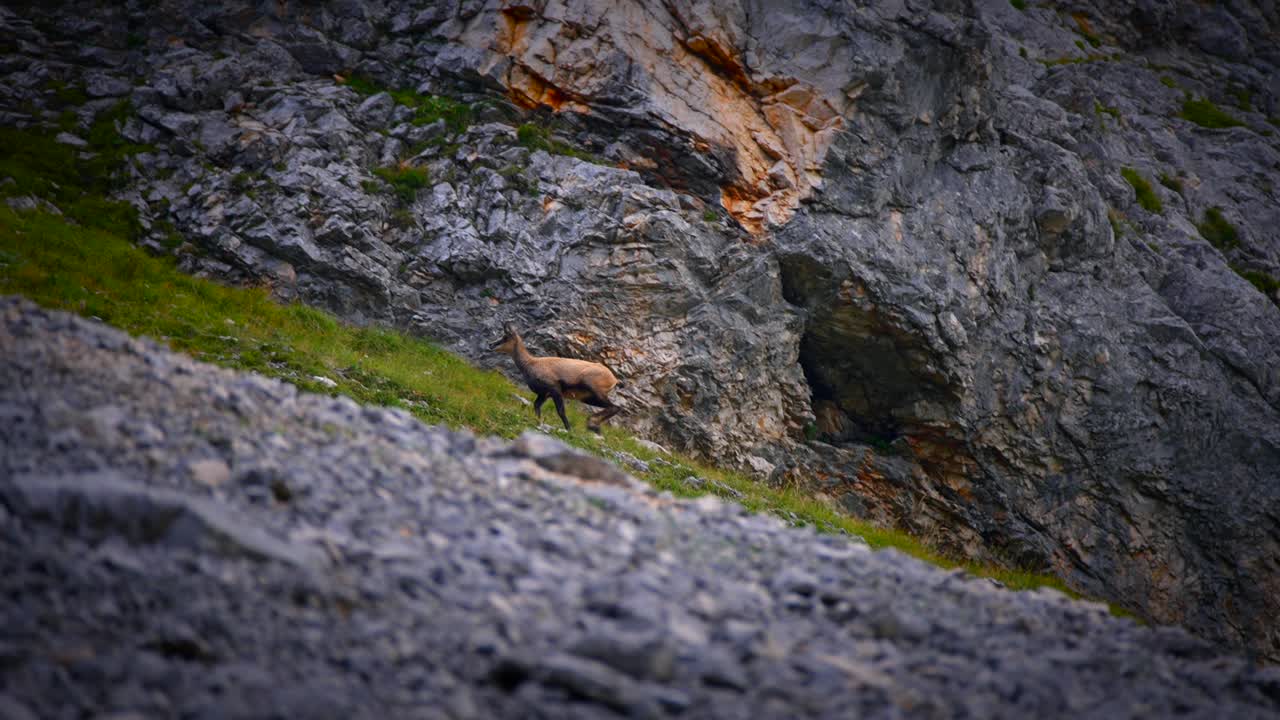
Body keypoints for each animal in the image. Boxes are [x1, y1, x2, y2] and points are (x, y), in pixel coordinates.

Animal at [490, 323, 622, 433]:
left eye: (505, 337)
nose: (491, 344)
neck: (531, 363)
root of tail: (614, 379)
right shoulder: (544, 394)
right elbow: (536, 406)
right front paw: (538, 421)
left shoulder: (555, 389)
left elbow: (561, 411)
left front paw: (569, 429)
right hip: (587, 397)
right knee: (613, 407)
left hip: (592, 388)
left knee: (614, 407)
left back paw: (592, 424)